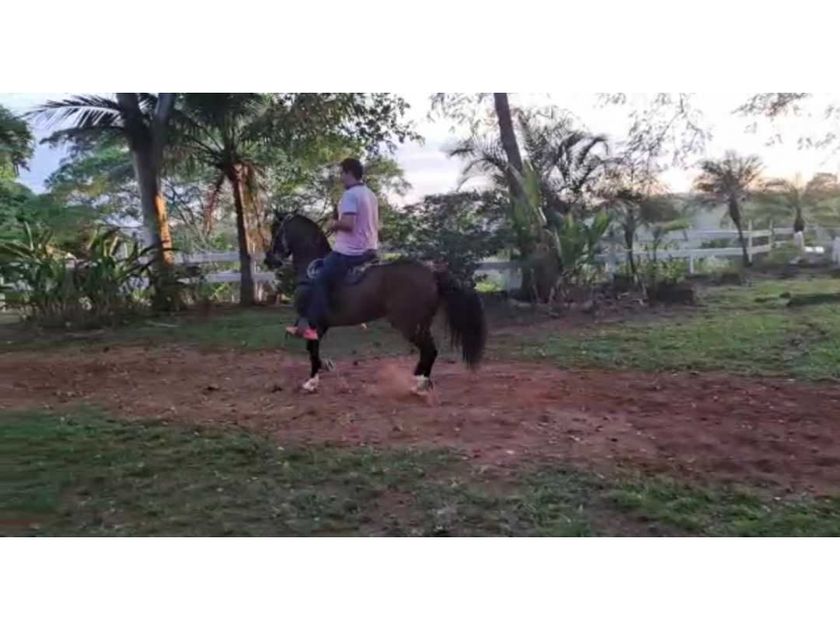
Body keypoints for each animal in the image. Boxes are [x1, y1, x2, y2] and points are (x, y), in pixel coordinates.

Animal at [264, 213, 487, 393]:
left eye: (275, 231)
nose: (269, 261)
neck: (311, 270)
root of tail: (432, 272)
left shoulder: (314, 323)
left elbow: (312, 350)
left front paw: (311, 381)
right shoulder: (320, 325)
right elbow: (313, 350)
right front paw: (322, 370)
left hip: (408, 325)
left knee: (429, 350)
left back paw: (418, 384)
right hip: (421, 324)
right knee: (430, 351)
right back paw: (422, 381)